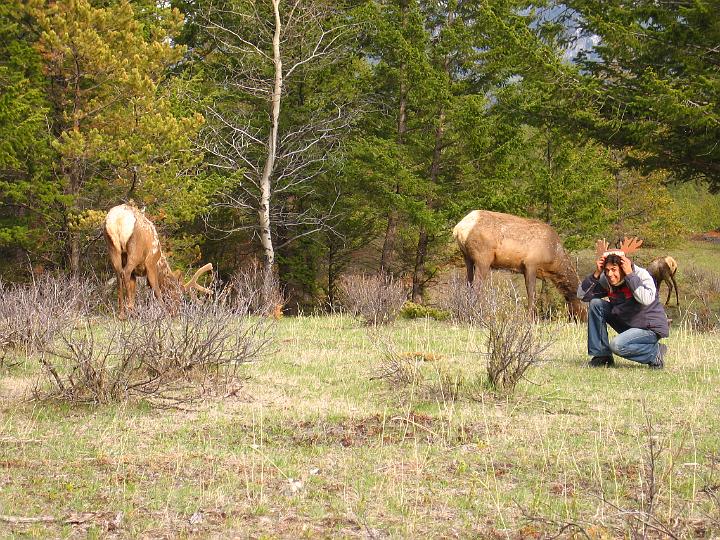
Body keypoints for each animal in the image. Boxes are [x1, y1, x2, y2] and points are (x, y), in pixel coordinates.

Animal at [452, 211, 588, 320]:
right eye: (588, 303)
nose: (585, 320)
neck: (553, 261)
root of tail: (459, 228)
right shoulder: (531, 264)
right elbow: (531, 293)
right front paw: (531, 318)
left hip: (467, 258)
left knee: (468, 283)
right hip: (483, 258)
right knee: (477, 286)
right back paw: (479, 314)